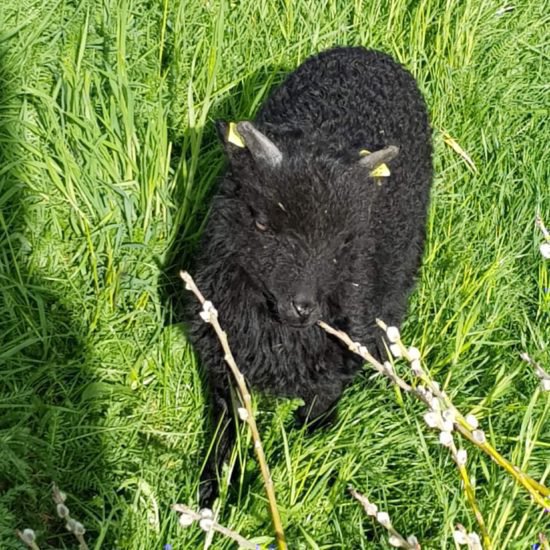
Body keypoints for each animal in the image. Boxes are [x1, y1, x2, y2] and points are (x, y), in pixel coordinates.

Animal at [188, 47, 434, 504]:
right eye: (262, 223)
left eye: (345, 240)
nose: (303, 307)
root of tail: (365, 53)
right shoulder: (222, 350)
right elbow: (228, 424)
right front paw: (215, 490)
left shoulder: (336, 368)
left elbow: (309, 427)